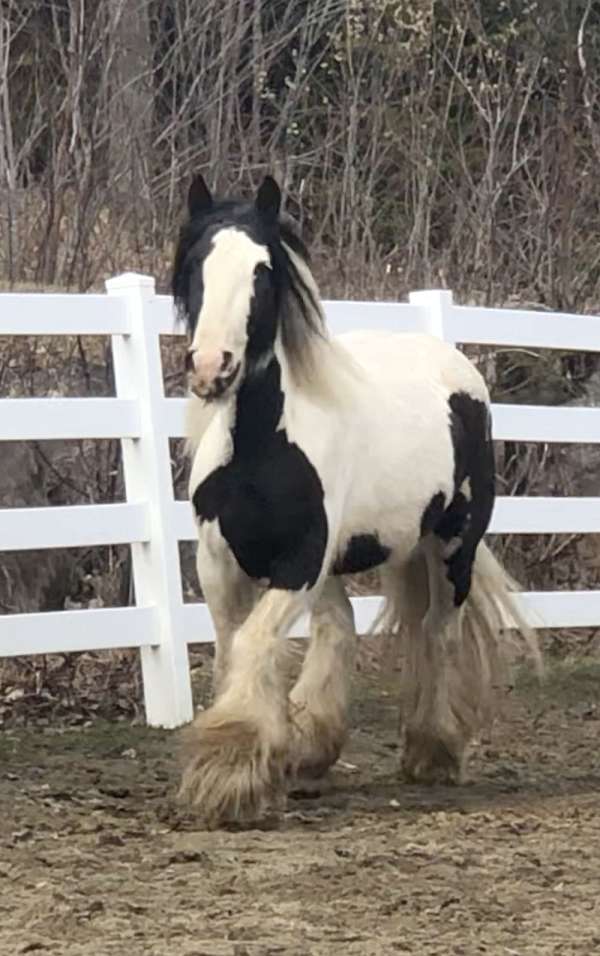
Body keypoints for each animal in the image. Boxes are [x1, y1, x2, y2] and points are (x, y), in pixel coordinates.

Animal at [172, 173, 540, 828]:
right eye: (196, 265)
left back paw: (432, 750)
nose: (213, 366)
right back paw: (312, 748)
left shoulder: (298, 563)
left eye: (263, 270)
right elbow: (232, 650)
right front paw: (257, 762)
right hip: (344, 561)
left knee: (436, 630)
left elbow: (254, 644)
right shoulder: (218, 564)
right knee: (340, 626)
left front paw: (228, 776)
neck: (262, 446)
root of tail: (458, 367)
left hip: (452, 546)